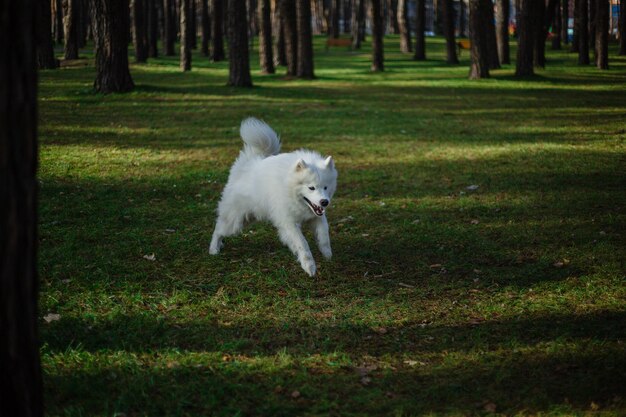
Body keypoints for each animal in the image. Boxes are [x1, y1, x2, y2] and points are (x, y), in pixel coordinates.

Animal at [210, 116, 336, 276]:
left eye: (325, 187)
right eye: (311, 188)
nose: (324, 202)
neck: (289, 188)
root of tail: (245, 167)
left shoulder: (317, 216)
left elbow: (324, 236)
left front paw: (327, 255)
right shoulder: (288, 223)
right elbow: (302, 244)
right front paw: (309, 266)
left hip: (249, 218)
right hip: (234, 221)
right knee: (218, 229)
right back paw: (213, 249)